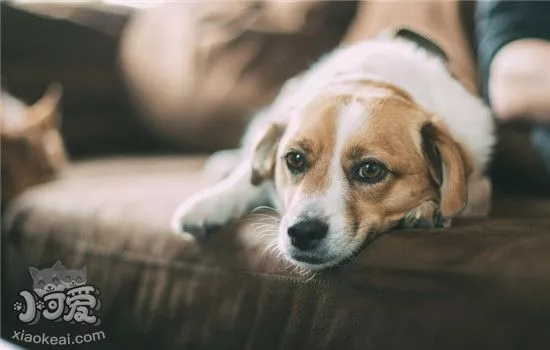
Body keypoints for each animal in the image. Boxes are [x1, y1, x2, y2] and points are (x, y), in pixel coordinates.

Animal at [171, 30, 496, 270]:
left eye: (370, 170)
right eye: (295, 159)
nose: (303, 233)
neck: (369, 80)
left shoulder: (479, 184)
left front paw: (427, 209)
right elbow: (246, 178)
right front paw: (209, 204)